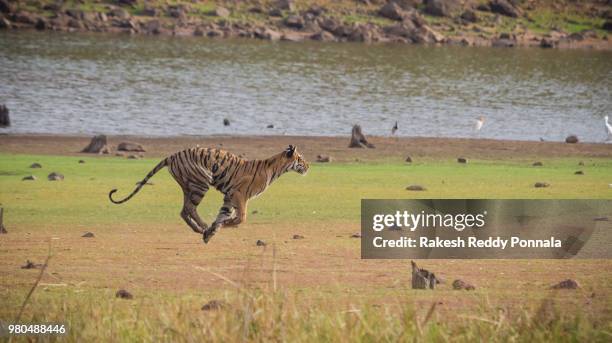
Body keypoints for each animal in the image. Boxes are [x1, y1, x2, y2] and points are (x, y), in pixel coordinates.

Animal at [108, 145, 308, 245]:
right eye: (301, 159)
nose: (308, 166)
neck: (274, 168)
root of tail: (172, 155)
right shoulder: (239, 194)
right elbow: (240, 218)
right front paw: (214, 228)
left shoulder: (229, 197)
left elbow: (224, 215)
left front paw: (212, 232)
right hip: (201, 183)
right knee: (189, 209)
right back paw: (203, 227)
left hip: (189, 186)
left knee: (184, 210)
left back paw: (200, 229)